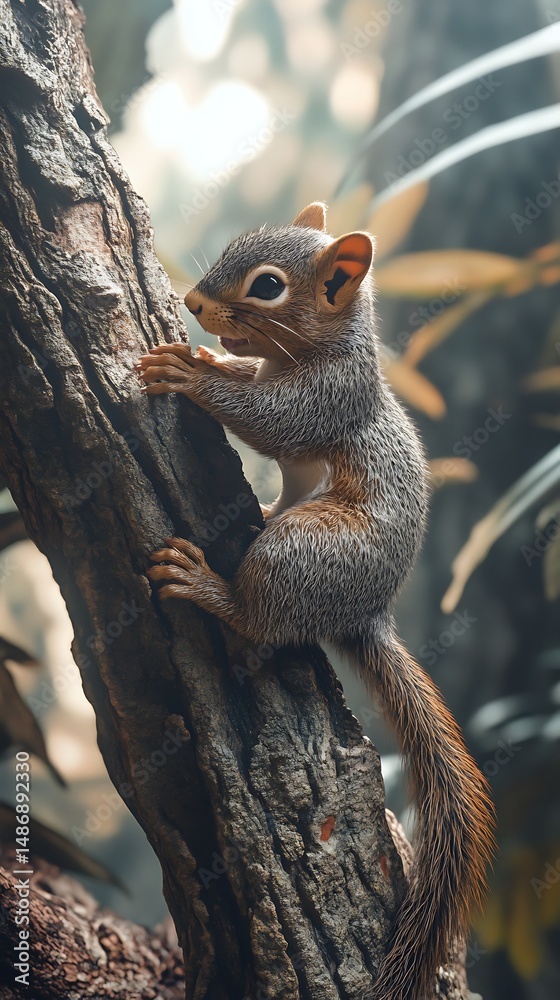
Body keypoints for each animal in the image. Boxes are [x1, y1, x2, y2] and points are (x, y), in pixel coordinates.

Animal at [137, 202, 495, 1000]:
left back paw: (207, 585)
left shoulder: (326, 398)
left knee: (260, 617)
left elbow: (269, 419)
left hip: (300, 554)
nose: (194, 304)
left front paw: (189, 373)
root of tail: (365, 612)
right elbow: (249, 380)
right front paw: (212, 359)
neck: (308, 350)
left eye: (268, 286)